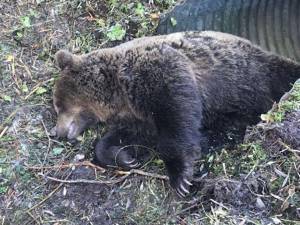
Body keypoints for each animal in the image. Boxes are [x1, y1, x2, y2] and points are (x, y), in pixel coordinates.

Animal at [51, 31, 300, 197]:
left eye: (58, 105)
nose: (57, 131)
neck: (117, 91)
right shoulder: (136, 116)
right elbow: (124, 137)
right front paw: (125, 157)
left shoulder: (159, 73)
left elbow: (177, 118)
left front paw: (180, 177)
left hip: (258, 71)